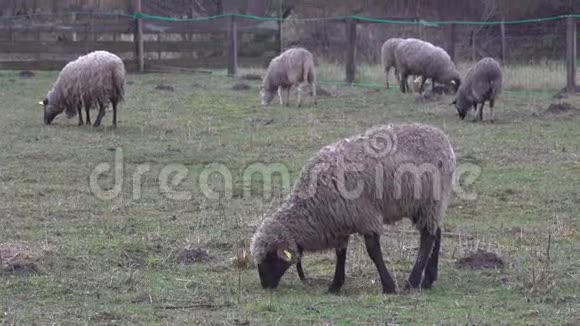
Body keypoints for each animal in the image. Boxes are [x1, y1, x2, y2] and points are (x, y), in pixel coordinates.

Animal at [249, 123, 458, 294]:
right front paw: (335, 285)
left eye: (269, 257)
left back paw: (412, 283)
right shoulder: (341, 220)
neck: (313, 207)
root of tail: (444, 140)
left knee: (428, 238)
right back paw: (428, 280)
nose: (265, 286)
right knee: (436, 233)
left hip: (430, 200)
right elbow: (340, 253)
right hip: (425, 205)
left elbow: (373, 252)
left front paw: (388, 286)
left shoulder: (366, 217)